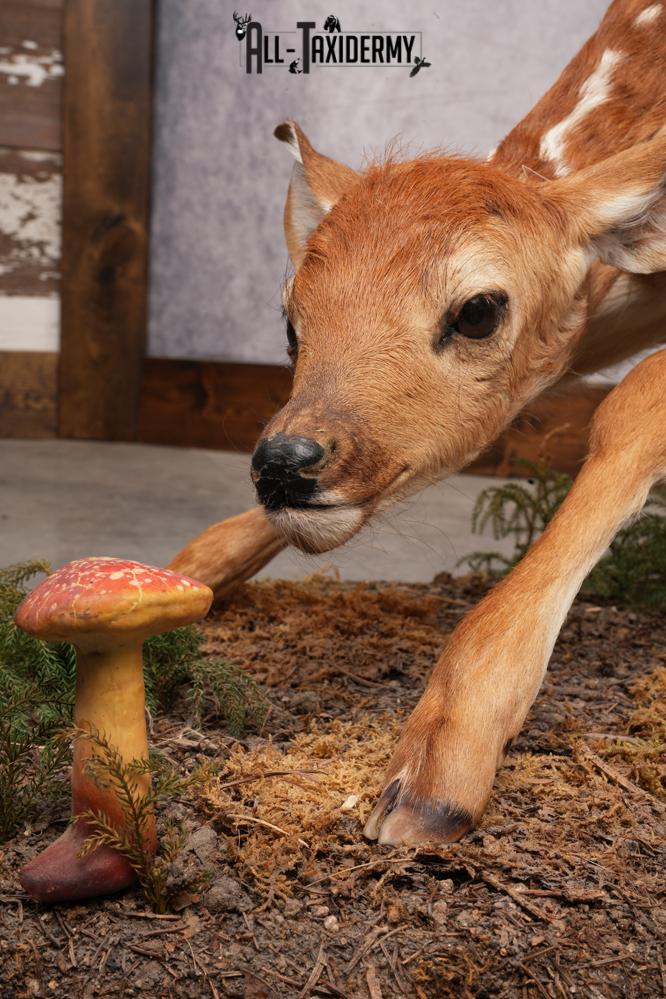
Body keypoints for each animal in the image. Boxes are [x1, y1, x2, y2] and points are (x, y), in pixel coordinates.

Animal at [170, 0, 666, 846]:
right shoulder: (592, 311)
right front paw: (180, 573)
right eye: (291, 319)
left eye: (478, 309)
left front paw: (435, 772)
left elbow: (628, 408)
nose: (287, 464)